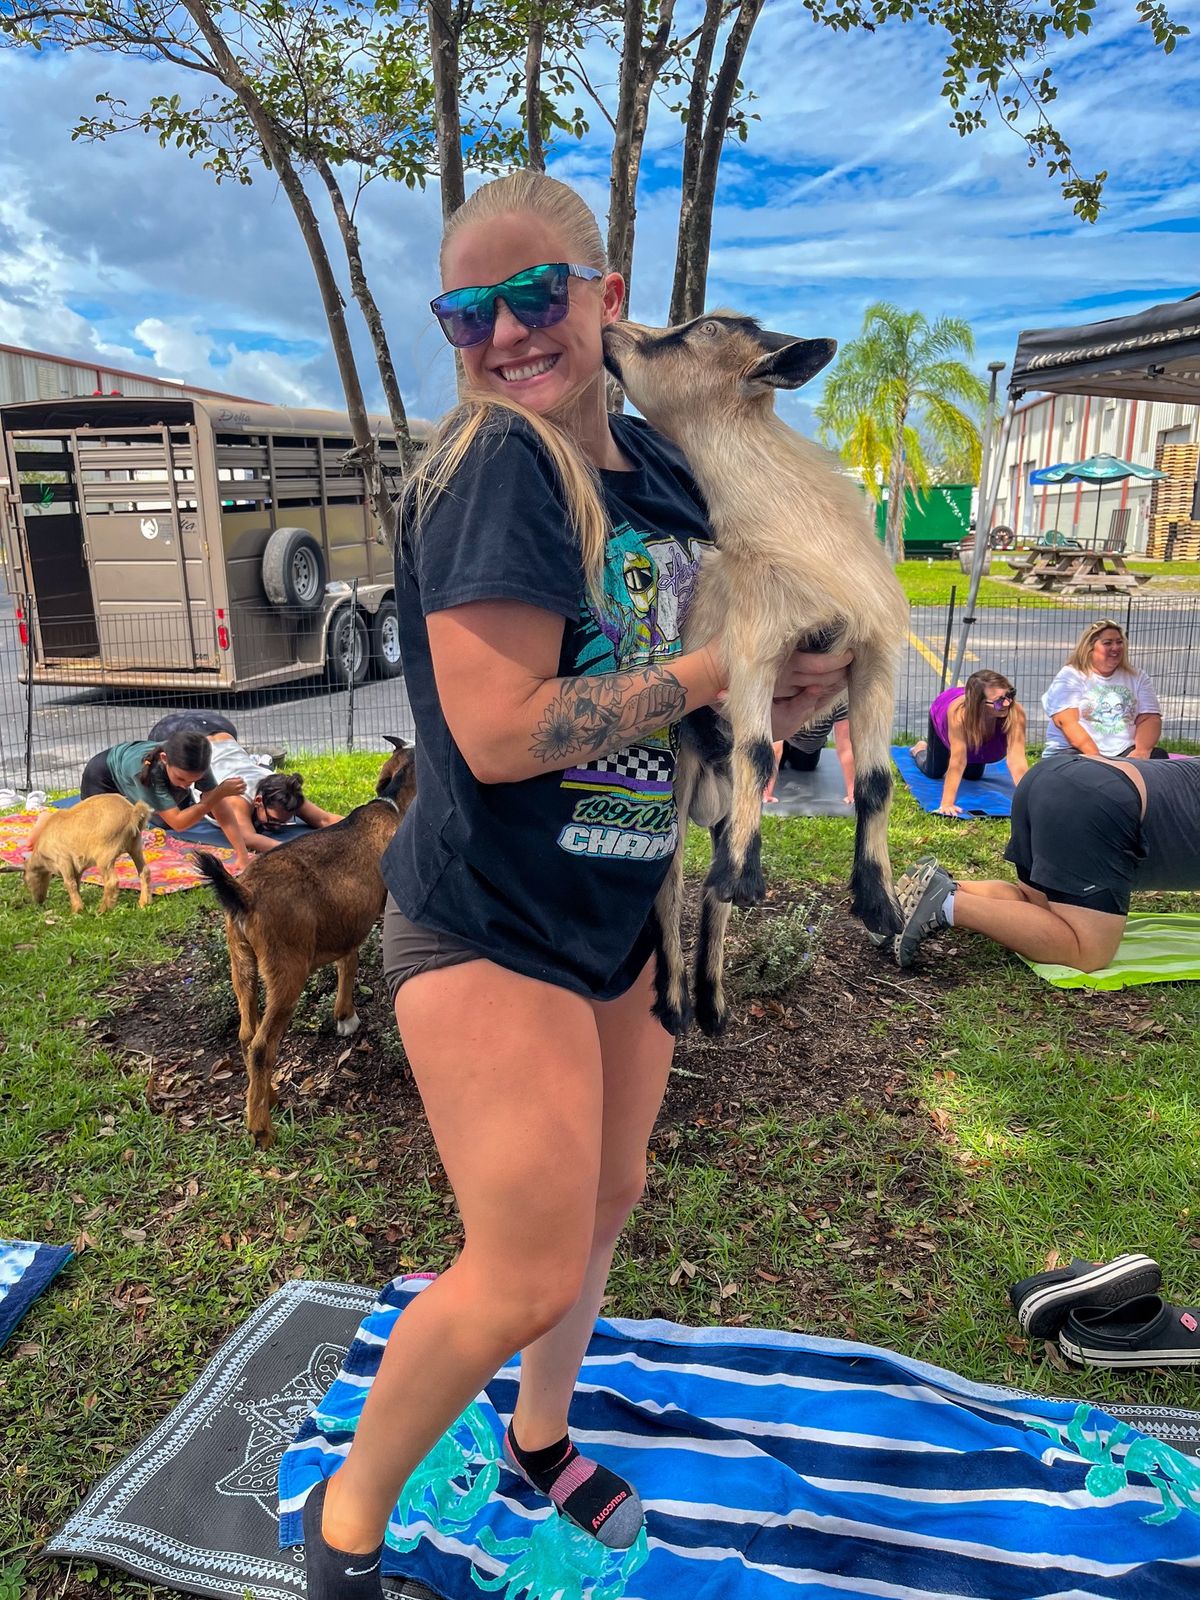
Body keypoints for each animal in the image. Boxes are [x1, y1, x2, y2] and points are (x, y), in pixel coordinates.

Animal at [24, 796, 152, 915]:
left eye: (27, 881)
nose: (39, 902)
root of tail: (132, 812)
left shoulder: (62, 859)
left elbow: (70, 883)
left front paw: (76, 910)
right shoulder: (77, 865)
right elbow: (76, 882)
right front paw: (78, 904)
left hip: (105, 854)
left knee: (111, 881)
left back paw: (103, 909)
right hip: (135, 846)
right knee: (144, 871)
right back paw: (143, 902)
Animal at [196, 739, 419, 1152]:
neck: (391, 807)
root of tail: (245, 895)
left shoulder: (348, 920)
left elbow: (348, 960)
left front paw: (344, 1015)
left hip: (241, 963)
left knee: (246, 1034)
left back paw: (267, 1096)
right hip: (287, 970)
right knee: (262, 1045)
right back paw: (262, 1129)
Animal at [604, 313, 908, 1036]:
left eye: (698, 331)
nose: (611, 331)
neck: (798, 538)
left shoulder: (875, 652)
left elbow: (876, 781)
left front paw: (879, 904)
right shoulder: (752, 651)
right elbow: (757, 754)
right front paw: (748, 877)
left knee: (708, 898)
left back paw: (715, 1002)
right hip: (683, 780)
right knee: (672, 887)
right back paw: (677, 1005)